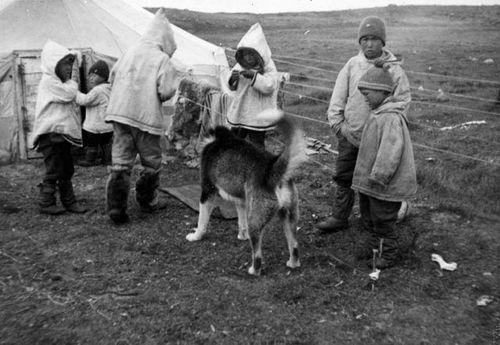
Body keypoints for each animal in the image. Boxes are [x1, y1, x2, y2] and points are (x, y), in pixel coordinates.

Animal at [186, 109, 306, 276]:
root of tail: (271, 171)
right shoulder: (241, 201)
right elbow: (241, 222)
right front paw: (242, 236)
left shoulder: (207, 192)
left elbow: (202, 222)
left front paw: (196, 236)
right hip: (289, 218)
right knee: (294, 246)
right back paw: (292, 264)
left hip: (255, 221)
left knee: (258, 256)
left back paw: (253, 271)